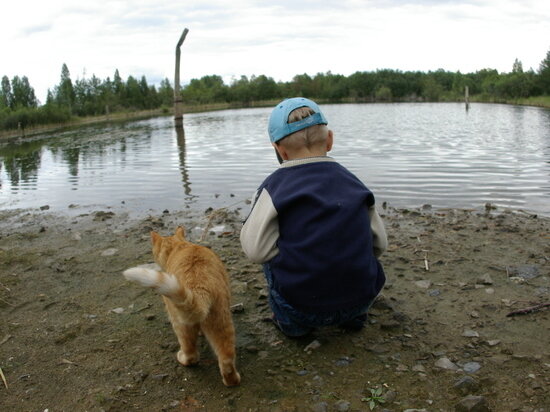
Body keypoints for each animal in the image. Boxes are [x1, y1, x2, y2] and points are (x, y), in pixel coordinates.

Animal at [125, 225, 242, 386]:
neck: (179, 246)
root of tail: (199, 287)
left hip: (180, 323)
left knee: (191, 354)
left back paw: (182, 357)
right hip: (221, 322)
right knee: (226, 359)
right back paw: (232, 380)